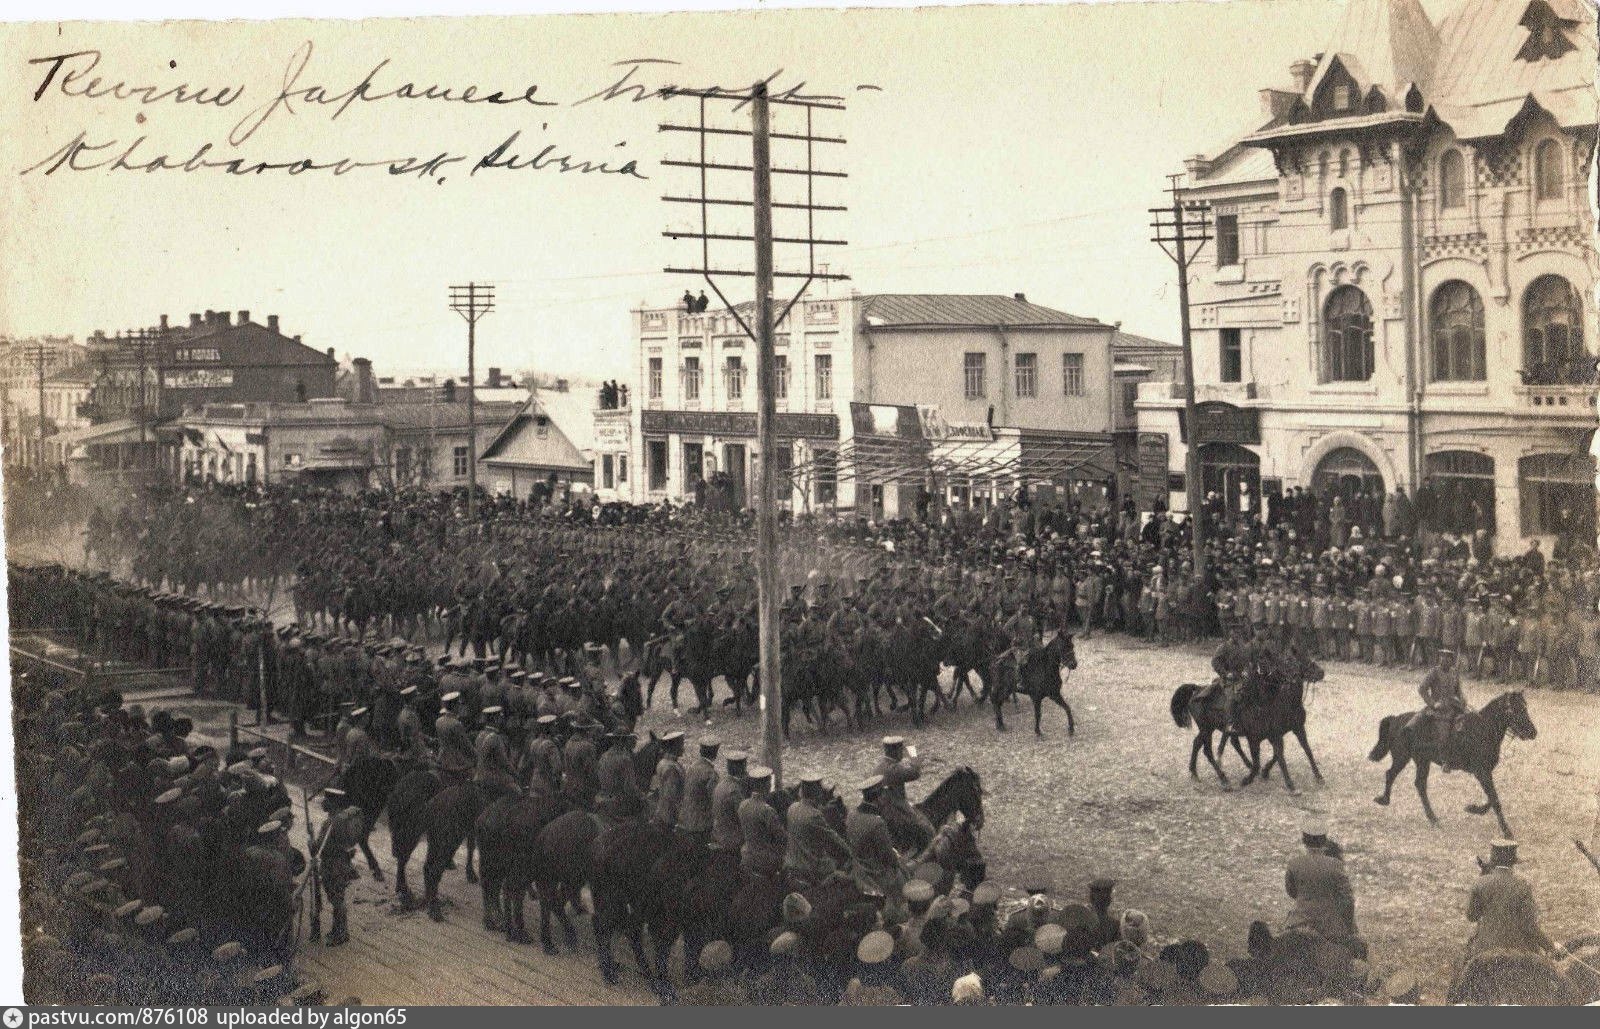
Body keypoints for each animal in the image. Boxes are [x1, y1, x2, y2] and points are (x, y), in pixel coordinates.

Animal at [1363, 691, 1536, 838]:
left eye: (1525, 708)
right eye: (1515, 710)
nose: (1533, 732)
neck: (1482, 730)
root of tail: (1397, 718)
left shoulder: (1486, 772)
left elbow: (1492, 798)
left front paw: (1473, 809)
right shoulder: (1481, 772)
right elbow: (1494, 799)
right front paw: (1507, 832)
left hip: (1422, 760)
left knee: (1419, 784)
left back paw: (1433, 819)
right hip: (1402, 757)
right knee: (1391, 774)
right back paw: (1384, 800)